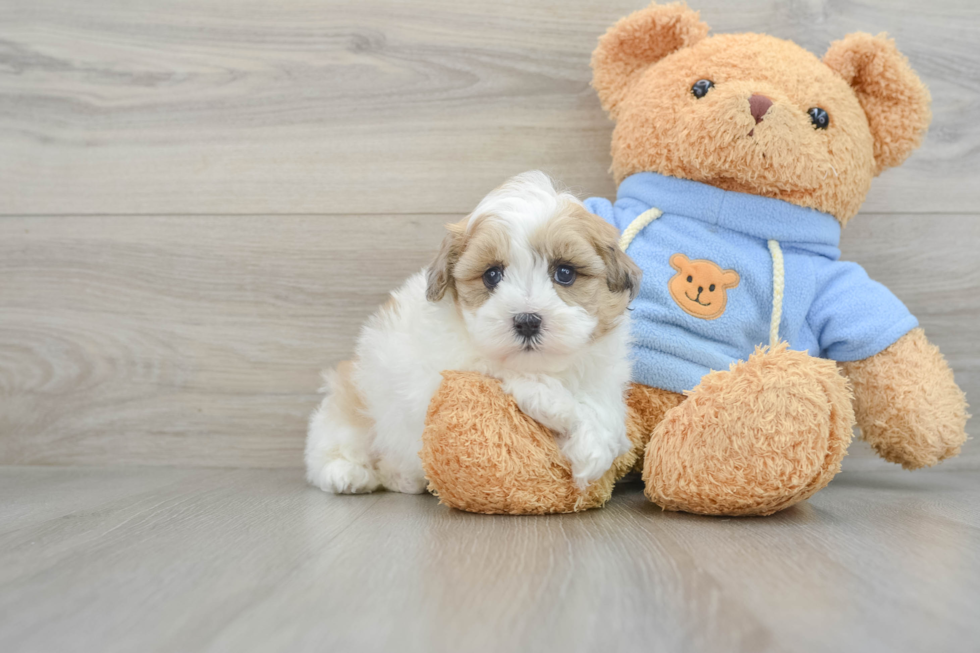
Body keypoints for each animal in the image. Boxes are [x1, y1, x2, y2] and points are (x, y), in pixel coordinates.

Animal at [306, 172, 644, 494]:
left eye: (565, 273)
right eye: (492, 275)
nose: (527, 321)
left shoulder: (604, 371)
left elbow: (607, 409)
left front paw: (595, 446)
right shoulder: (444, 367)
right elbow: (497, 367)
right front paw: (557, 405)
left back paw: (402, 479)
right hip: (353, 403)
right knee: (330, 446)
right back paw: (346, 473)